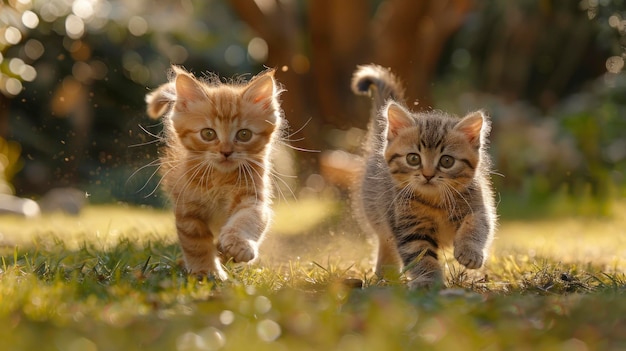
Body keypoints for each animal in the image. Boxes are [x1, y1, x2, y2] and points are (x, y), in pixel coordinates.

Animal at [144, 65, 282, 280]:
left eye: (244, 134)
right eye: (208, 134)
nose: (226, 152)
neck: (220, 179)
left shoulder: (253, 198)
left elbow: (248, 219)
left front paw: (238, 245)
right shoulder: (187, 211)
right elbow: (196, 245)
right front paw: (206, 272)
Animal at [352, 64, 492, 290]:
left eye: (446, 161)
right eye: (413, 158)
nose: (428, 175)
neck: (436, 202)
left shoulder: (478, 206)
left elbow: (476, 225)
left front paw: (470, 252)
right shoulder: (410, 227)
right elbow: (421, 256)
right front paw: (428, 281)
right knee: (385, 241)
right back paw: (386, 274)